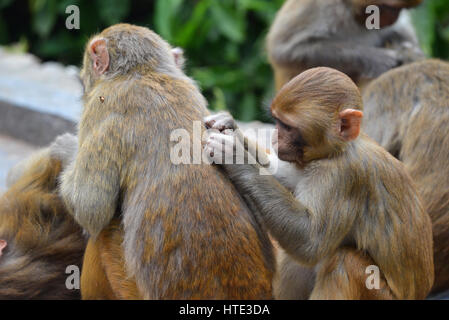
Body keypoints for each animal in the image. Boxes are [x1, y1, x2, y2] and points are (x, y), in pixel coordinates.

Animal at [59, 24, 272, 300]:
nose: (84, 86)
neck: (145, 72)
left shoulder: (100, 105)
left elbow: (90, 207)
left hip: (126, 285)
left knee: (102, 232)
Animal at [204, 67, 434, 300]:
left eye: (287, 126)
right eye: (276, 121)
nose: (275, 137)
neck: (338, 150)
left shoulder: (343, 177)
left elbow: (309, 241)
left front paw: (235, 155)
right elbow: (282, 174)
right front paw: (230, 125)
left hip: (380, 294)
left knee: (344, 261)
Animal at [266, 0, 424, 90]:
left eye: (401, 9)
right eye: (390, 7)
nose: (394, 18)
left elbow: (399, 31)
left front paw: (410, 53)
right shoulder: (320, 5)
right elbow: (283, 52)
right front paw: (378, 59)